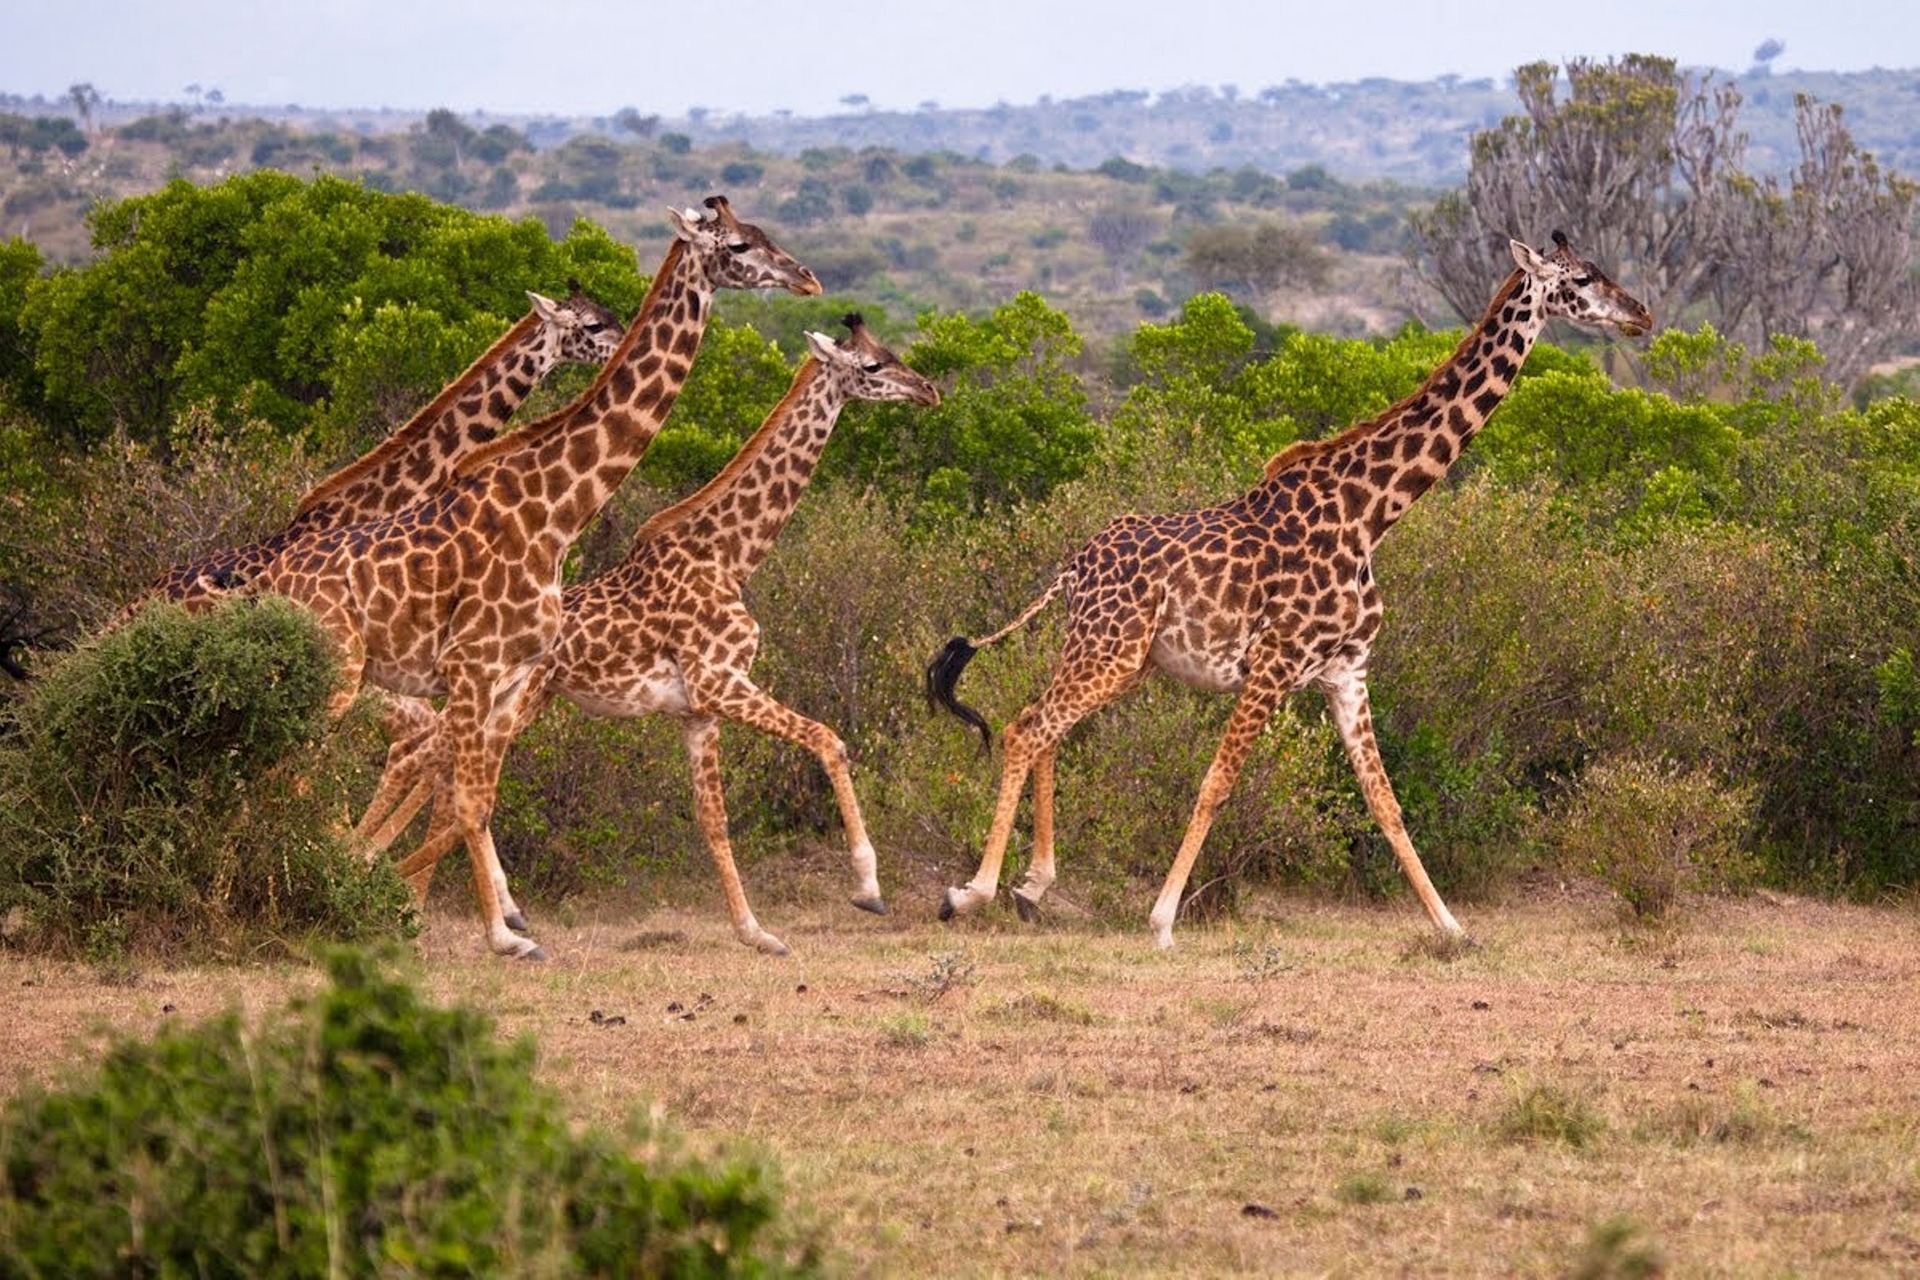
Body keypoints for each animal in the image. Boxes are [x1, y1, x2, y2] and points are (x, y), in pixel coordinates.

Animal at [228, 197, 821, 959]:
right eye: (740, 244)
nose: (806, 278)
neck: (555, 513)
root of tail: (269, 584)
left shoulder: (507, 675)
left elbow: (475, 797)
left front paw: (491, 921)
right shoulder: (472, 664)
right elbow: (467, 797)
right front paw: (501, 935)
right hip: (336, 674)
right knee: (277, 768)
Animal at [357, 316, 940, 955]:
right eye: (873, 366)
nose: (929, 391)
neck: (731, 556)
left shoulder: (698, 709)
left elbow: (714, 817)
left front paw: (756, 931)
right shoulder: (721, 682)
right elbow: (828, 738)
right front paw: (867, 887)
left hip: (511, 701)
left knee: (438, 769)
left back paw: (405, 884)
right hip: (514, 698)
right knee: (430, 763)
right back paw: (373, 870)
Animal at [929, 233, 1651, 951]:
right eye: (1582, 277)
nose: (1641, 313)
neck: (1371, 514)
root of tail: (1073, 567)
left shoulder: (1347, 670)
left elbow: (1385, 802)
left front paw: (1452, 927)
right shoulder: (1275, 663)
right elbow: (1217, 784)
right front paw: (1162, 920)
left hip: (1123, 659)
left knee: (1045, 729)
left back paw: (1031, 888)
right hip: (1107, 651)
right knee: (1026, 728)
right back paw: (971, 893)